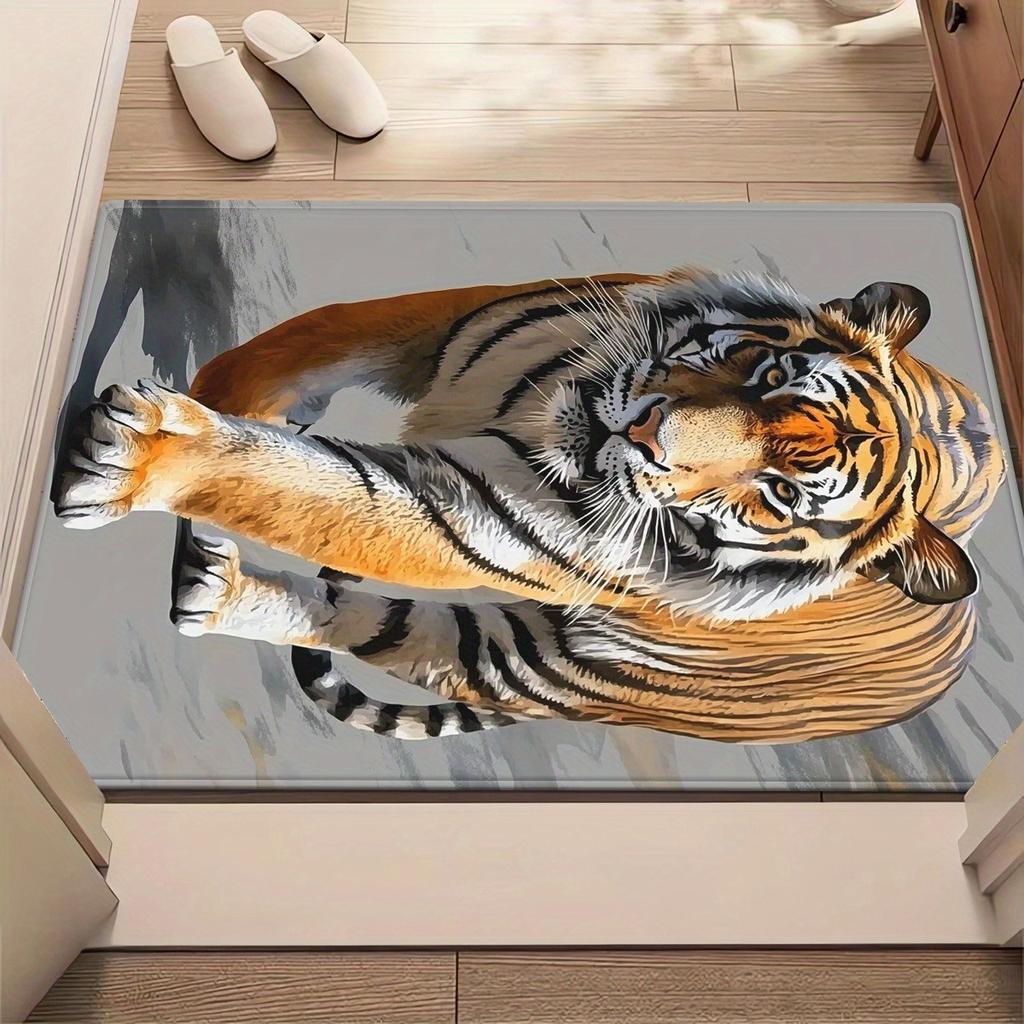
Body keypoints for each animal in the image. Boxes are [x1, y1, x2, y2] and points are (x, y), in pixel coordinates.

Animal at [53, 267, 1005, 742]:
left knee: (387, 632)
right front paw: (211, 398)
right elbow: (297, 347)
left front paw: (133, 457)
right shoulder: (443, 322)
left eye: (777, 493)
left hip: (539, 665)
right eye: (767, 376)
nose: (648, 434)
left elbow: (317, 487)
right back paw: (208, 582)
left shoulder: (471, 510)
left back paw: (211, 588)